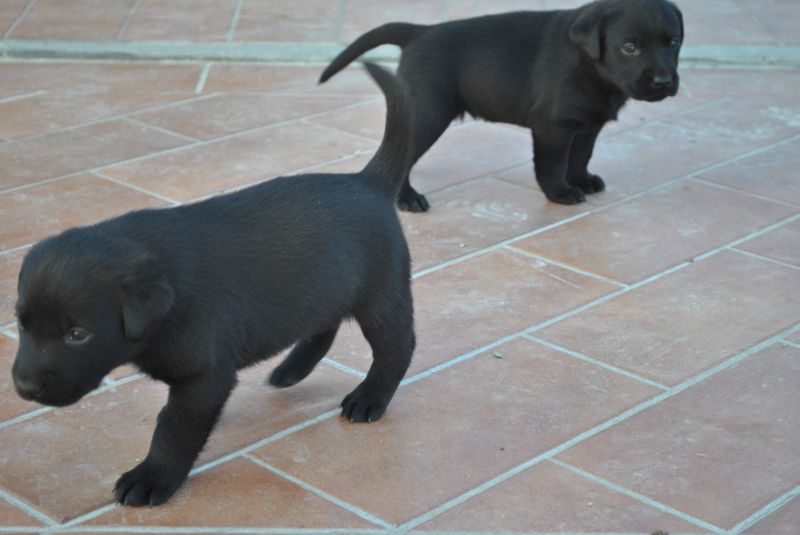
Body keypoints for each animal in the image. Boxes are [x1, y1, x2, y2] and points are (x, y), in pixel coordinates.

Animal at [12, 62, 416, 506]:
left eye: (77, 334)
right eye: (21, 325)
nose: (23, 386)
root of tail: (369, 182)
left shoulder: (203, 379)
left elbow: (171, 431)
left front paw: (151, 478)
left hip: (382, 295)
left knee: (396, 347)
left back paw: (369, 398)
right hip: (325, 285)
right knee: (322, 325)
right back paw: (290, 370)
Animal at [318, 0, 680, 211]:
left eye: (673, 41)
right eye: (630, 47)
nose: (664, 81)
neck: (590, 66)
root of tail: (419, 32)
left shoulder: (588, 124)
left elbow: (580, 156)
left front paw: (582, 180)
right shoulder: (552, 126)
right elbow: (552, 164)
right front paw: (560, 192)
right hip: (426, 114)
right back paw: (406, 198)